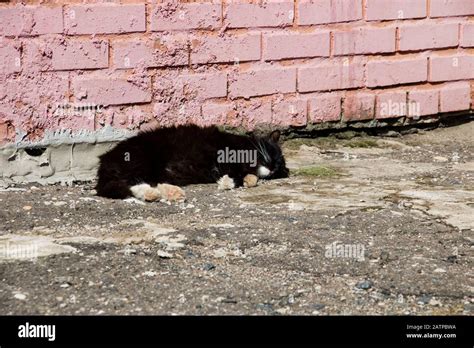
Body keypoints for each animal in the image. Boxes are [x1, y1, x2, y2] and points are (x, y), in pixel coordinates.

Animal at [95, 124, 288, 201]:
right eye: (274, 155)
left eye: (278, 167)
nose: (273, 167)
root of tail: (105, 161)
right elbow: (234, 173)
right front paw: (227, 182)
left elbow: (250, 178)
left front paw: (246, 179)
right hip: (141, 160)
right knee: (125, 183)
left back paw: (167, 192)